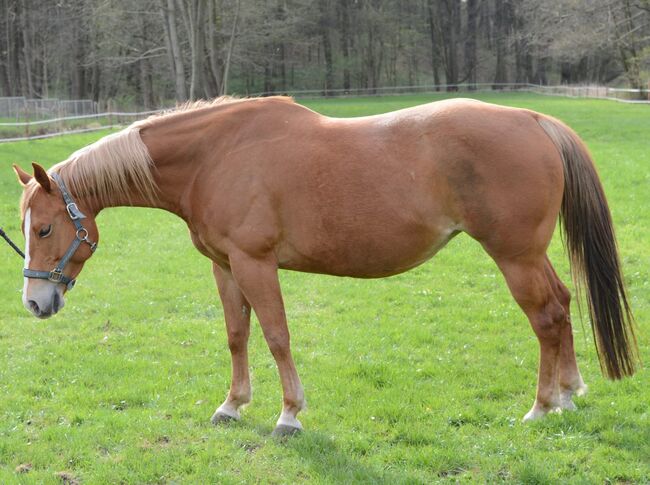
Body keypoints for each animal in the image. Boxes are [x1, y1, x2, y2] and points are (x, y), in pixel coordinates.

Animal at [12, 95, 636, 434]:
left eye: (44, 228)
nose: (35, 303)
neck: (214, 157)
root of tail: (532, 119)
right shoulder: (224, 267)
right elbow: (237, 335)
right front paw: (232, 406)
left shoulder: (256, 264)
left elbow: (276, 335)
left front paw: (289, 415)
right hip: (529, 256)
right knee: (563, 305)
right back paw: (571, 391)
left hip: (514, 256)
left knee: (546, 316)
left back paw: (542, 406)